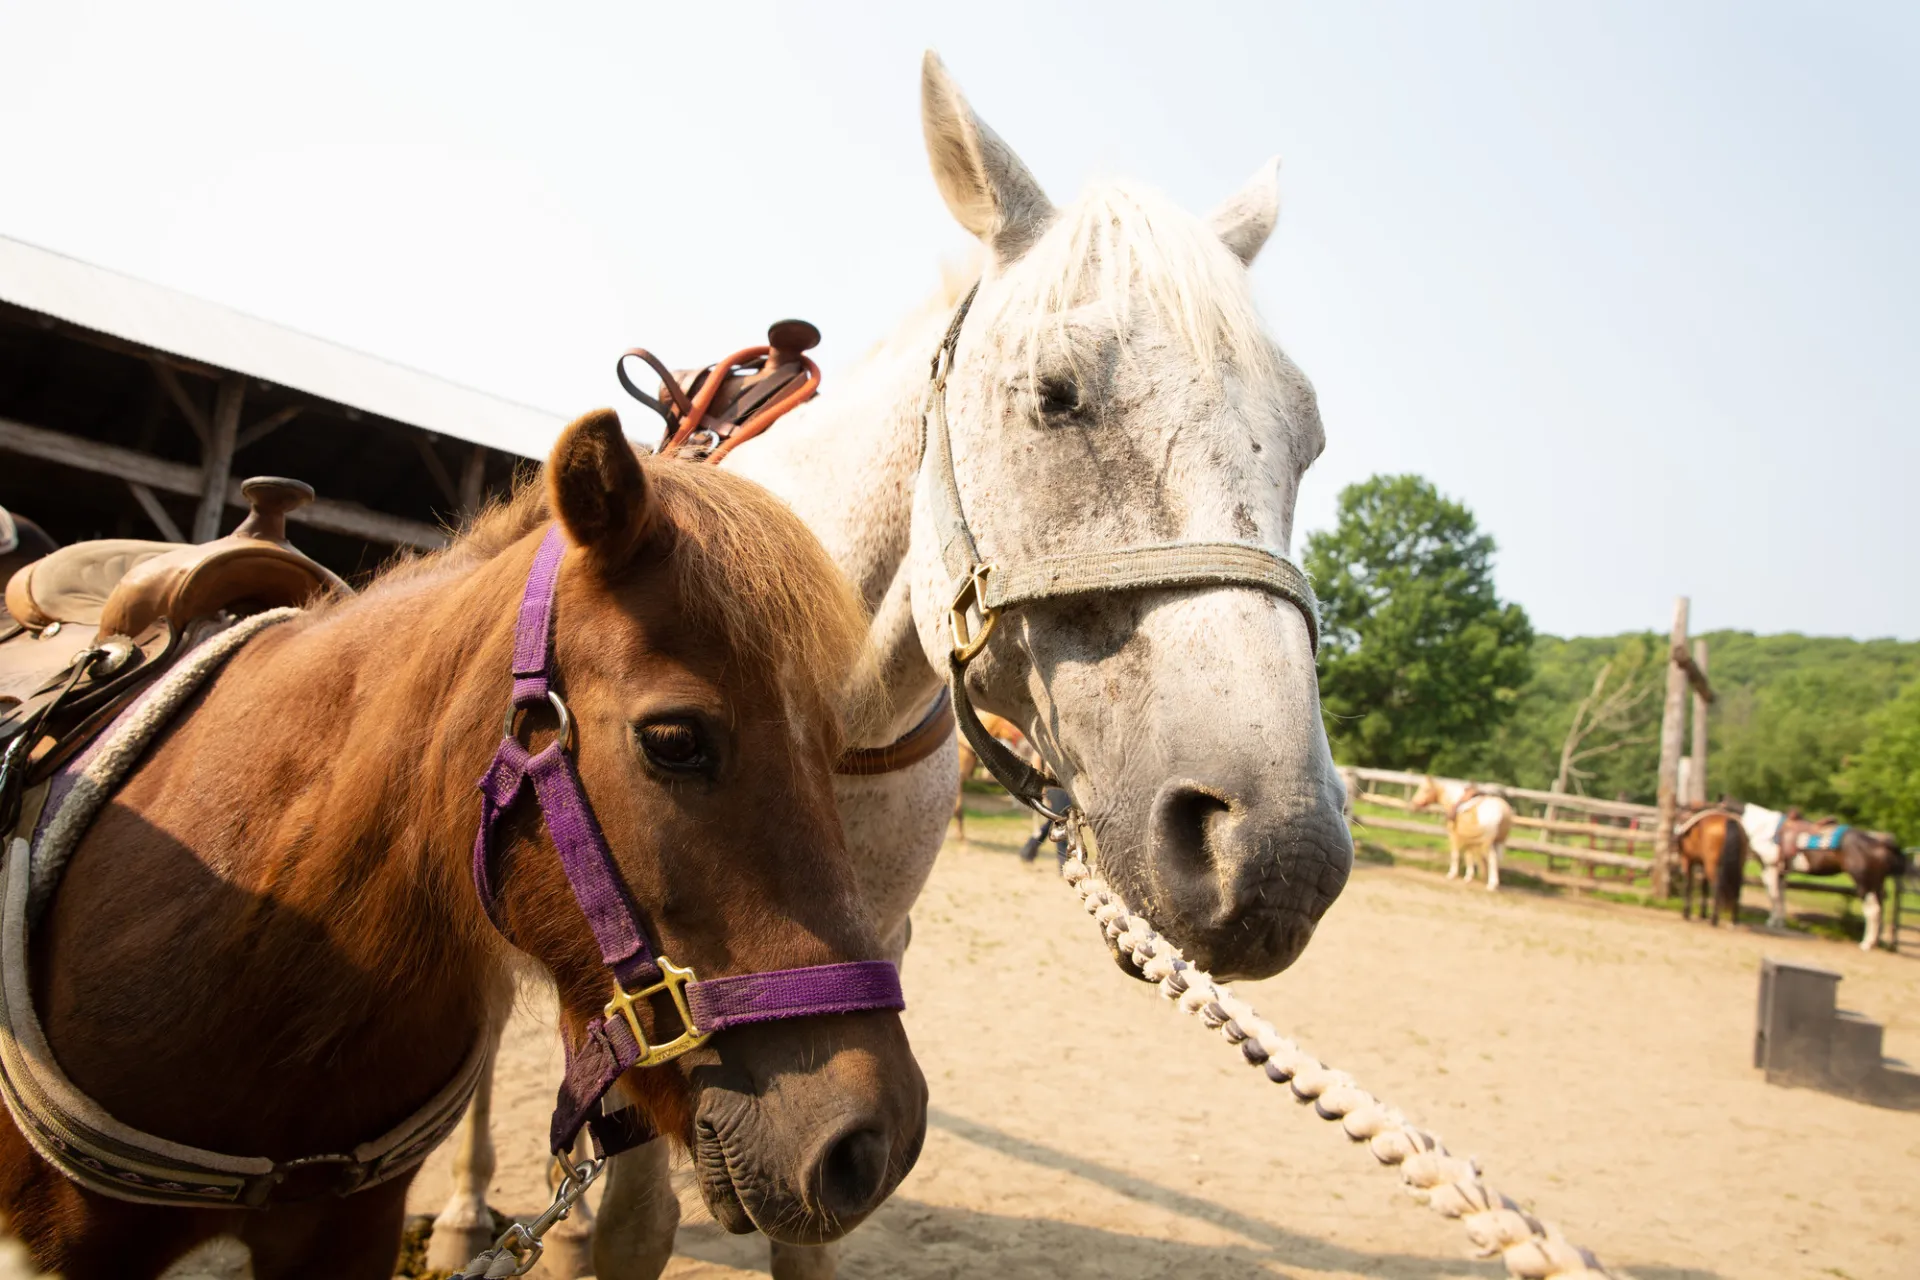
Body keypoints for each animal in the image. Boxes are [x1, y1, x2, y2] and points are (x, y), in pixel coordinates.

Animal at [1741, 803, 1907, 951]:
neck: (1763, 827)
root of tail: (1879, 842)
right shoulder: (1780, 872)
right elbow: (1780, 896)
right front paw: (1779, 922)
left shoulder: (1770, 868)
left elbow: (1773, 896)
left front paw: (1773, 922)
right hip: (1877, 883)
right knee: (1879, 908)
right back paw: (1875, 942)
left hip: (1864, 883)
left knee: (1872, 910)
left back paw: (1866, 944)